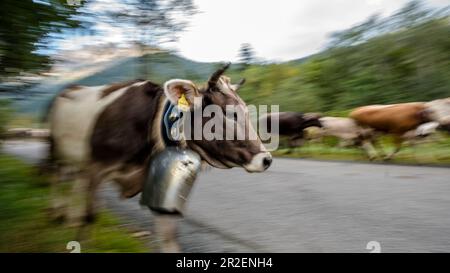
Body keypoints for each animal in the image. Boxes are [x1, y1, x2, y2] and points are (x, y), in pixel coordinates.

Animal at [46, 63, 270, 251]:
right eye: (228, 113)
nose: (266, 159)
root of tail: (70, 88)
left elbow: (168, 238)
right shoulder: (97, 167)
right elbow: (90, 216)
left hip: (80, 162)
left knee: (76, 184)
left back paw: (70, 219)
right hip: (56, 148)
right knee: (57, 176)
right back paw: (57, 214)